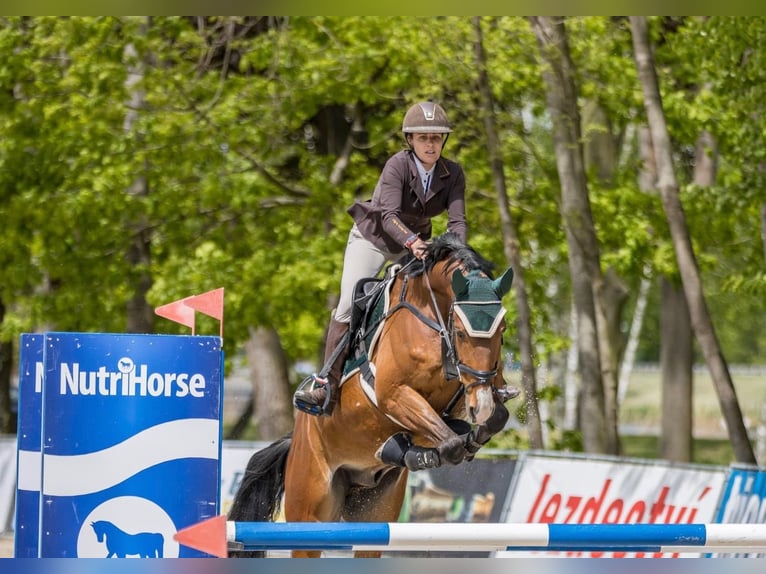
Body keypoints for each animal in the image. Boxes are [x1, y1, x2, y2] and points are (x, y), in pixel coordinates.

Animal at [228, 233, 516, 560]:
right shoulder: (393, 394)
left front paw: (466, 437)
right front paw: (436, 449)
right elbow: (450, 443)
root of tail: (296, 439)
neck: (433, 320)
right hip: (310, 510)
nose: (479, 405)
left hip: (375, 513)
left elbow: (494, 417)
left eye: (502, 328)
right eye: (461, 330)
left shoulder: (477, 391)